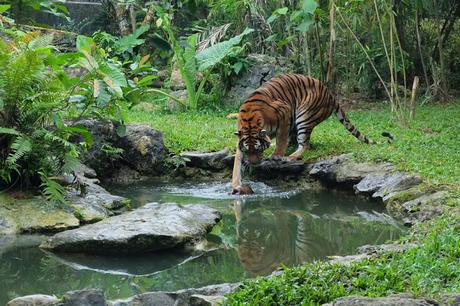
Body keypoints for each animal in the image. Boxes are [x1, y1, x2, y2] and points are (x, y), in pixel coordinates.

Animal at [230, 73, 392, 195]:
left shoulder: (284, 111)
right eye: (247, 150)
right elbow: (237, 163)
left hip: (304, 115)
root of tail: (330, 93)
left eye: (258, 149)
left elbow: (281, 139)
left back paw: (289, 157)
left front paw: (276, 155)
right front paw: (236, 184)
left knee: (305, 144)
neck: (249, 122)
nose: (254, 164)